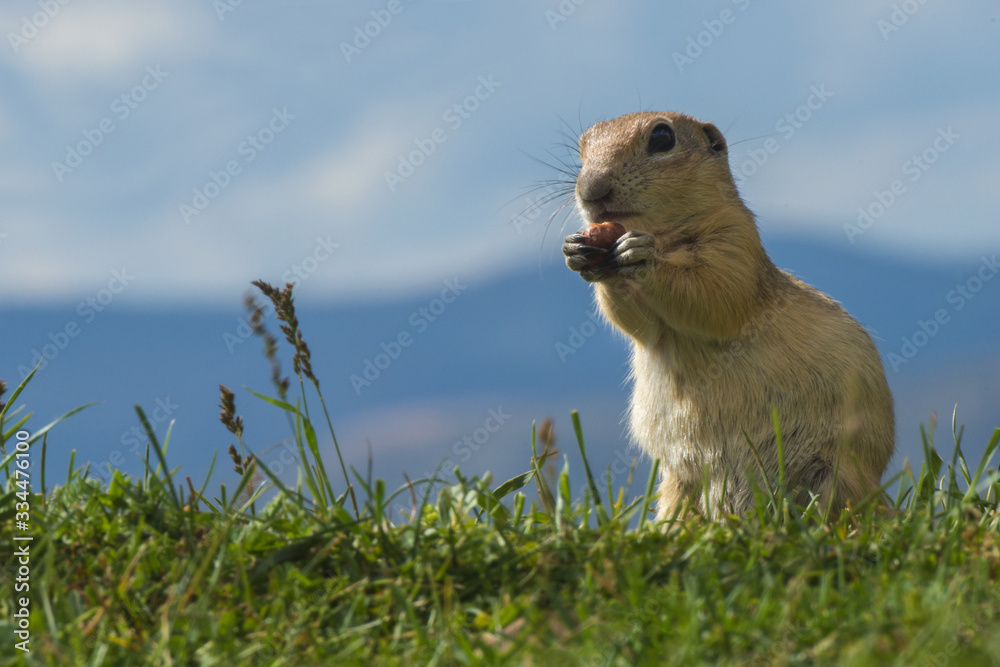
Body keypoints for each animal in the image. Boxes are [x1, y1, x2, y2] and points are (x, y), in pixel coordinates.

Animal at [562, 111, 895, 520]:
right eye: (582, 147)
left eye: (662, 137)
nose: (591, 190)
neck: (664, 237)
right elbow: (636, 322)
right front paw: (577, 252)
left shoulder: (735, 241)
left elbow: (714, 291)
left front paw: (641, 256)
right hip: (679, 485)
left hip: (838, 474)